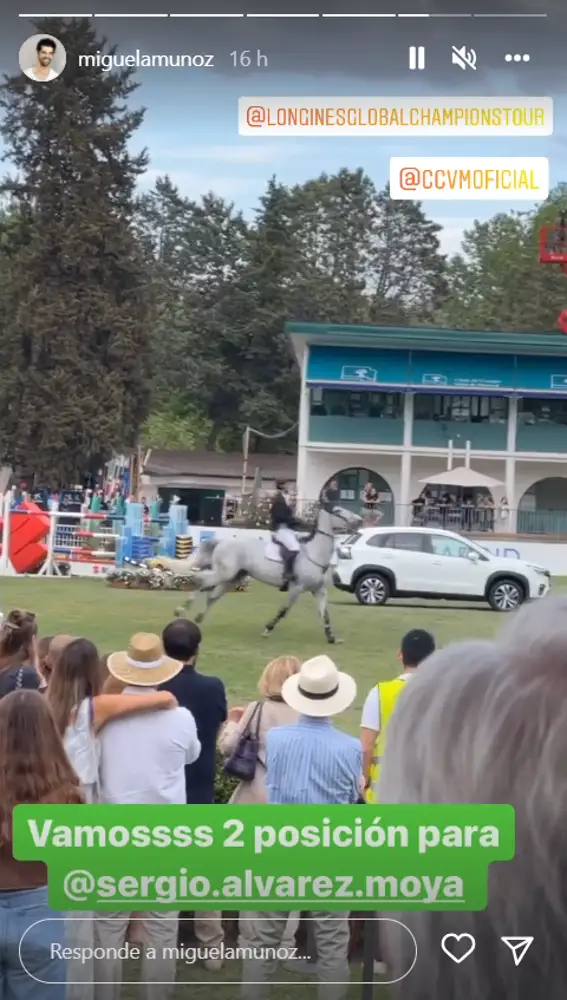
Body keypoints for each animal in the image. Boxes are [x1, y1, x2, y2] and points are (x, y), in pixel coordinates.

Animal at [161, 504, 364, 644]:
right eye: (338, 511)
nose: (360, 520)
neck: (314, 553)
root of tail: (222, 541)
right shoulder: (296, 588)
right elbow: (283, 610)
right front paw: (268, 629)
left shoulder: (319, 591)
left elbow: (325, 614)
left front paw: (332, 638)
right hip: (224, 573)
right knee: (201, 580)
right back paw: (181, 611)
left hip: (233, 578)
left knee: (211, 594)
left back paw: (197, 619)